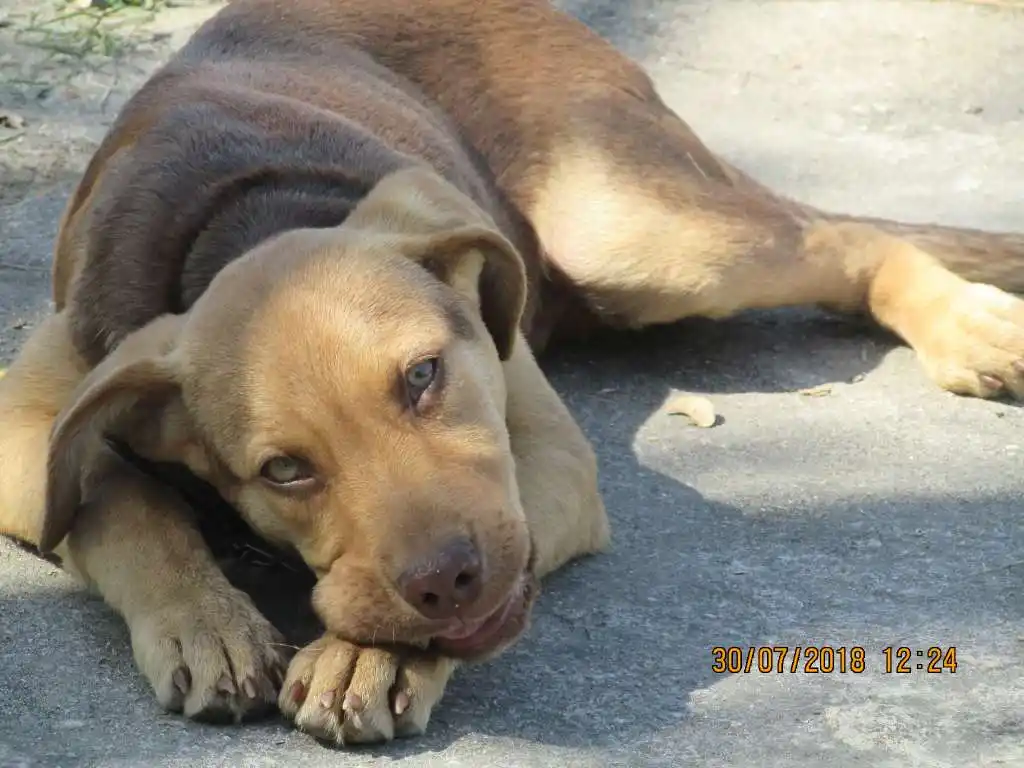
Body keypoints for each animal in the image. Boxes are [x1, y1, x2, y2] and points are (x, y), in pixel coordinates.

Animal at [2, 0, 1024, 749]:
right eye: (282, 470)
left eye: (423, 375)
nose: (447, 586)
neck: (249, 210)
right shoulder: (29, 425)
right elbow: (117, 502)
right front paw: (205, 619)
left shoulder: (551, 454)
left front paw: (367, 657)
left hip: (630, 231)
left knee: (847, 239)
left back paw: (973, 329)